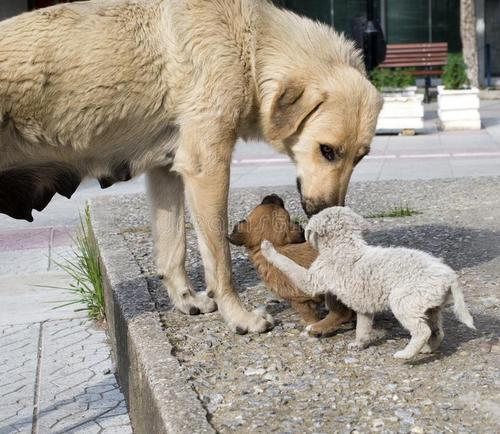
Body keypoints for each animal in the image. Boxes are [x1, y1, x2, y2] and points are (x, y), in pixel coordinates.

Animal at [229, 195, 354, 338]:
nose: (272, 195)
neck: (277, 247)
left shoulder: (298, 300)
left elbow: (310, 314)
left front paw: (309, 323)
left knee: (342, 313)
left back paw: (318, 328)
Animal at [262, 207, 476, 360]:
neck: (345, 246)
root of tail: (449, 275)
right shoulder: (364, 307)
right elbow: (362, 329)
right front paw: (359, 344)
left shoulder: (314, 278)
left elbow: (289, 265)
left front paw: (269, 250)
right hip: (429, 305)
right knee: (437, 331)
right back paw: (426, 350)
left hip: (404, 301)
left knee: (422, 331)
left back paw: (406, 354)